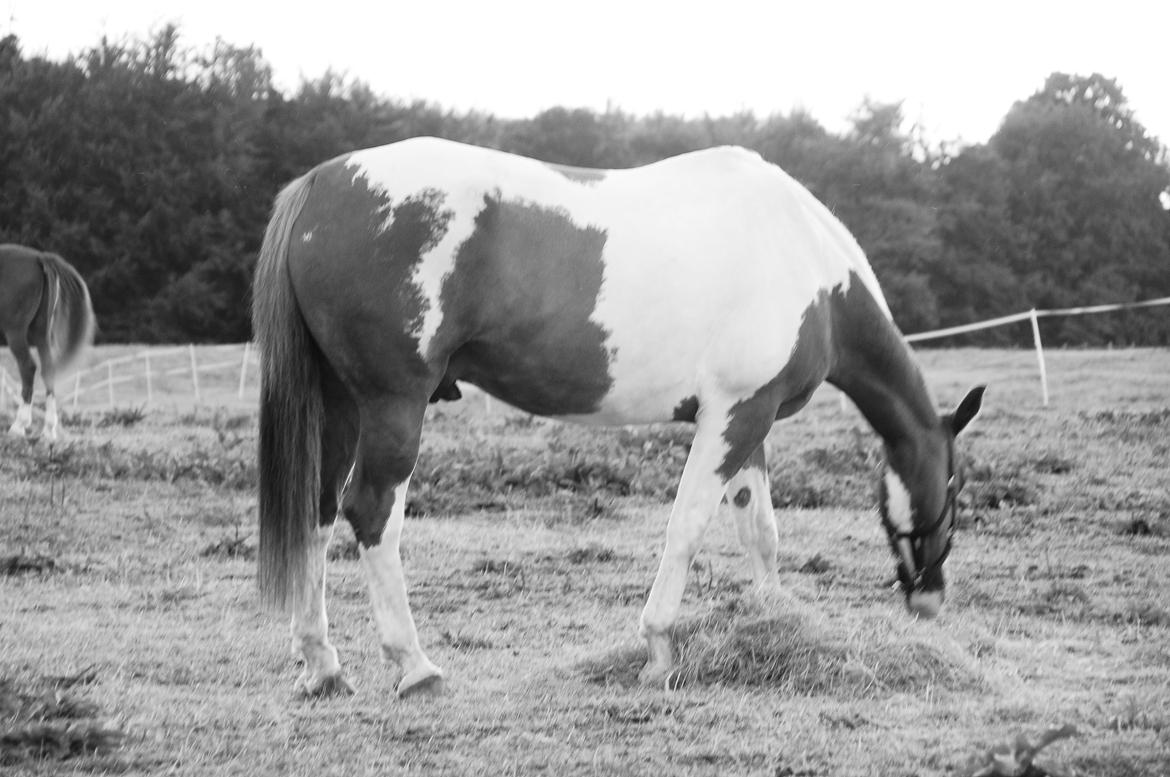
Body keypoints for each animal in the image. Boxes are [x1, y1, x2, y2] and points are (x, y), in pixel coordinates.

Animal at [0, 245, 95, 442]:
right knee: (48, 369)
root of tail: (38, 257)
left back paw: (19, 426)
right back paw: (49, 430)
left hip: (16, 332)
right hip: (41, 333)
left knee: (28, 367)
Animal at [251, 138, 982, 697]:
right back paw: (415, 665)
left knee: (318, 512)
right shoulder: (734, 417)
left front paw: (773, 616)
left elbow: (760, 531)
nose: (930, 598)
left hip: (341, 404)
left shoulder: (750, 419)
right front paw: (658, 651)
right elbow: (688, 528)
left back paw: (322, 666)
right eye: (955, 488)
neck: (806, 264)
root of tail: (320, 184)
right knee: (371, 511)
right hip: (392, 404)